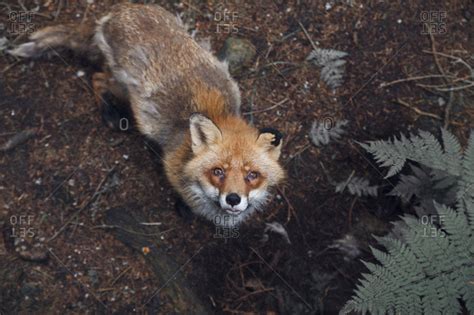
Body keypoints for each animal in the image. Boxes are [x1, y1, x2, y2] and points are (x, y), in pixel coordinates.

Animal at [10, 3, 286, 228]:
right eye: (218, 172)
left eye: (252, 176)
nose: (233, 199)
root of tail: (118, 11)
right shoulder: (172, 166)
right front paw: (185, 209)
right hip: (122, 88)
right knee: (97, 78)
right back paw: (109, 115)